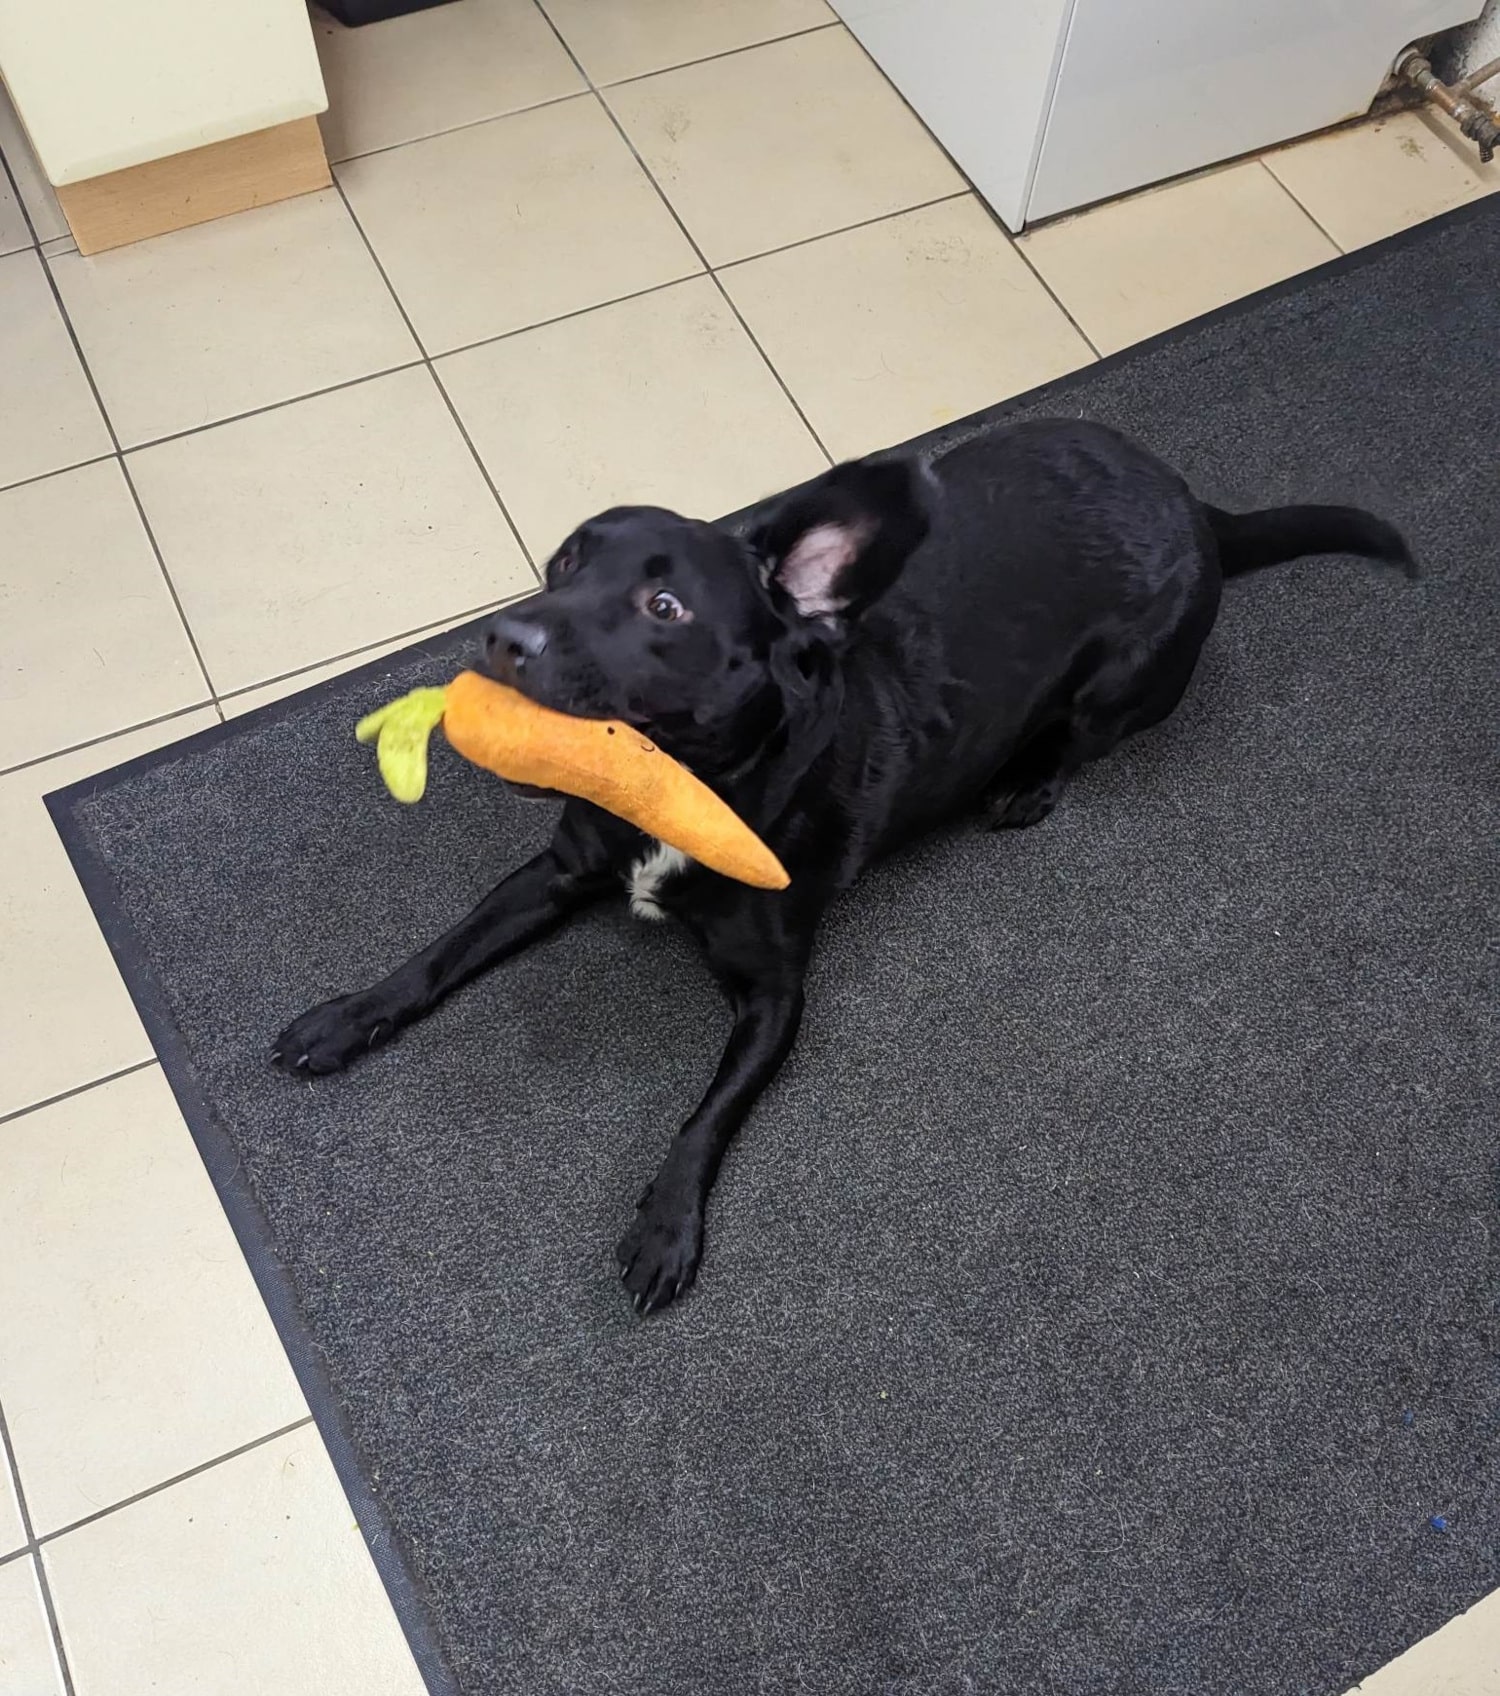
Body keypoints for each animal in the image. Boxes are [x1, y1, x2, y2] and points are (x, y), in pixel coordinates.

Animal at [274, 420, 1411, 1309]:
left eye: (665, 610)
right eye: (563, 564)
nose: (502, 640)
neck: (681, 789)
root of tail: (1191, 502)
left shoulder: (776, 997)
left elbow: (707, 1117)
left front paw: (666, 1225)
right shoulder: (553, 873)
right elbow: (434, 956)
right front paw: (343, 1017)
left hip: (1121, 689)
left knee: (1080, 742)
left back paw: (1028, 783)